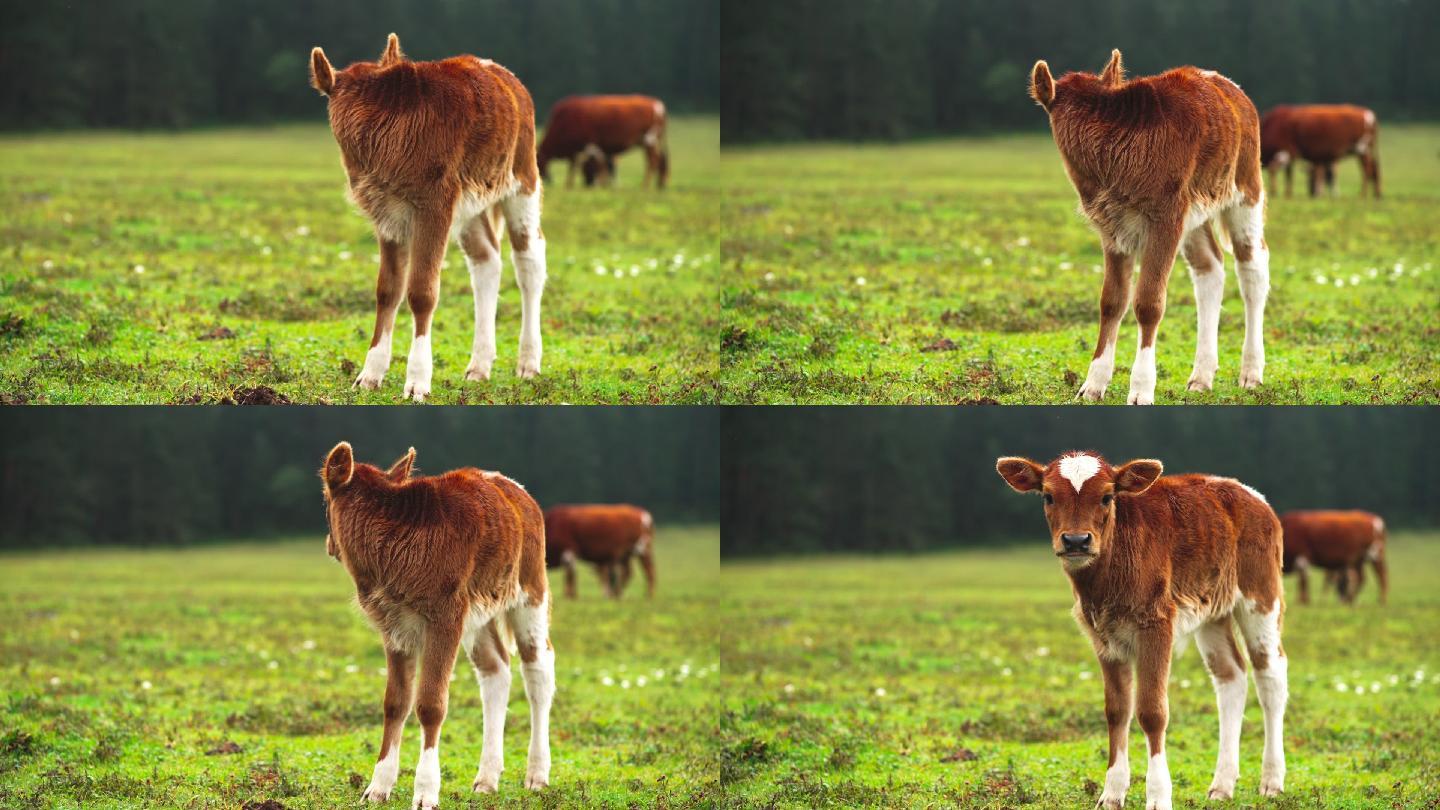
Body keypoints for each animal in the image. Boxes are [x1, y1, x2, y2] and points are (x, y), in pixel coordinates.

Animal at [309, 34, 544, 400]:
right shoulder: (386, 212)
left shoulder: (435, 205)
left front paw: (417, 380)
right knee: (487, 260)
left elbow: (421, 292)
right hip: (471, 203)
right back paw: (479, 366)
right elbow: (387, 289)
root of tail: (503, 74)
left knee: (529, 261)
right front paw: (370, 374)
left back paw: (529, 362)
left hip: (522, 178)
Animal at [324, 443, 552, 801]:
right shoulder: (393, 625)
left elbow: (431, 704)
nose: (329, 544)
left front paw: (426, 792)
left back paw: (537, 774)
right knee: (496, 669)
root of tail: (515, 489)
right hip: (478, 612)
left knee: (538, 670)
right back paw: (487, 778)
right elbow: (395, 702)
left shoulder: (445, 617)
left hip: (530, 590)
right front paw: (378, 786)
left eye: (325, 500)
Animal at [538, 95, 671, 188]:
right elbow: (575, 166)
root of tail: (657, 103)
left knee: (652, 162)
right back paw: (658, 184)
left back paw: (645, 186)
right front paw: (569, 185)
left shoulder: (591, 145)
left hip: (649, 140)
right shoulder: (581, 150)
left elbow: (597, 165)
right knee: (659, 161)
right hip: (651, 142)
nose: (588, 184)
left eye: (538, 163)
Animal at [996, 449, 1290, 801]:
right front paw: (1111, 794)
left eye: (1107, 496)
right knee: (1231, 676)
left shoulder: (1157, 623)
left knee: (1270, 675)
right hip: (1212, 611)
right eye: (1048, 496)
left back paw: (1271, 780)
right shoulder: (1103, 636)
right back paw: (1222, 784)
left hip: (1261, 595)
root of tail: (1248, 493)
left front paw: (1159, 796)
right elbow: (1116, 710)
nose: (1076, 541)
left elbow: (1152, 711)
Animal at [1025, 50, 1272, 403]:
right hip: (1193, 210)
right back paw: (1201, 376)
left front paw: (1141, 388)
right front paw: (1093, 383)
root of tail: (1227, 85)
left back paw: (1251, 372)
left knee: (1252, 268)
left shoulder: (1165, 218)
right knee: (1210, 267)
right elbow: (1112, 301)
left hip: (1245, 188)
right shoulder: (1111, 226)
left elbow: (1148, 302)